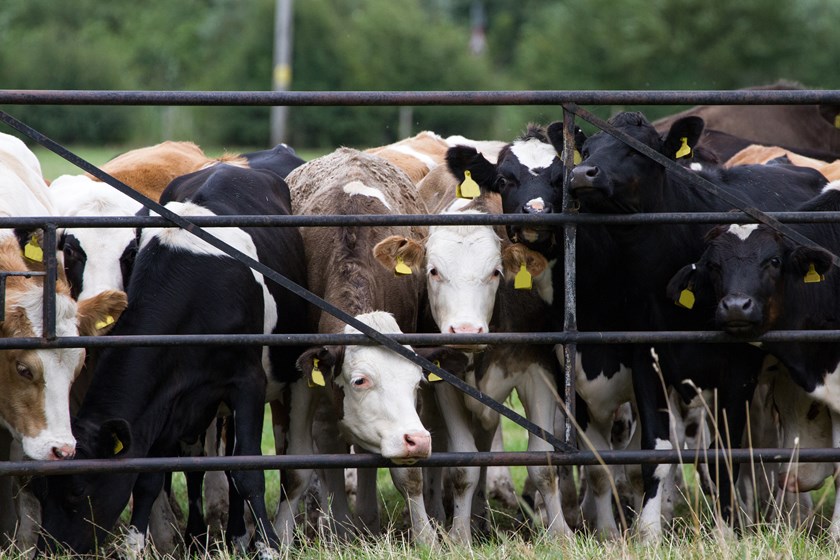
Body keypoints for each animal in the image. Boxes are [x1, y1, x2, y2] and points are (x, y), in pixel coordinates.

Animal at [35, 163, 308, 557]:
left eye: (78, 492)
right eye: (39, 491)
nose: (50, 550)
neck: (197, 293)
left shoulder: (248, 383)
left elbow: (248, 470)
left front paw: (268, 545)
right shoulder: (167, 398)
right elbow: (151, 477)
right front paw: (134, 544)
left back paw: (242, 535)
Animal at [273, 147, 466, 546]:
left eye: (416, 382)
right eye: (360, 380)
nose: (416, 441)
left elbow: (408, 475)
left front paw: (425, 537)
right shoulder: (302, 380)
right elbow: (298, 469)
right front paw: (280, 537)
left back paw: (363, 520)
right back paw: (344, 526)